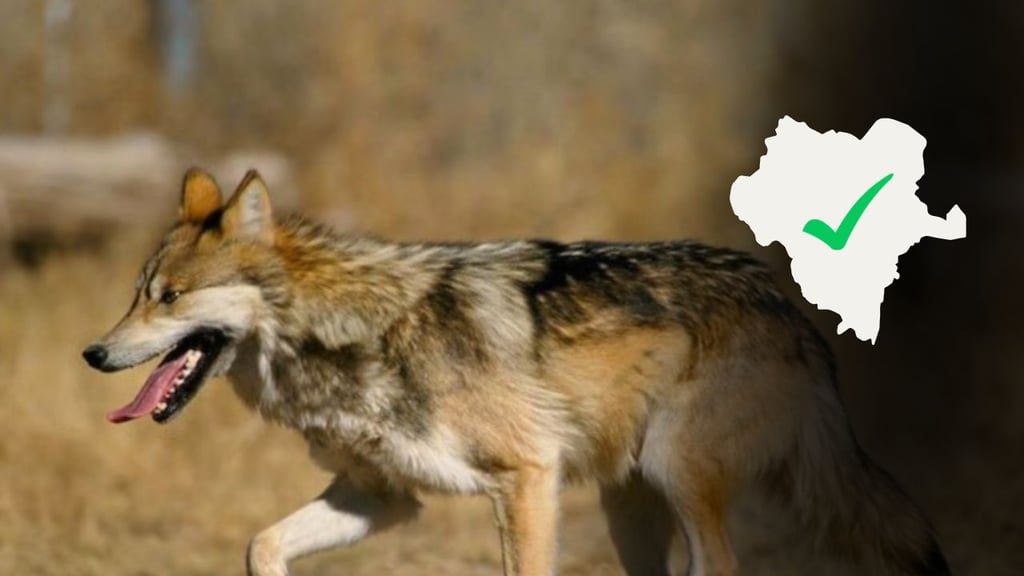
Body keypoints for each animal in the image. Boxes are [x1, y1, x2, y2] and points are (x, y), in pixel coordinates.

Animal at [82, 169, 950, 576]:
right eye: (135, 294)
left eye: (169, 298)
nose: (93, 353)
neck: (350, 333)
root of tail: (793, 309)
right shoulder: (381, 497)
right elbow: (260, 543)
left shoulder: (526, 477)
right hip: (630, 504)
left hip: (675, 468)